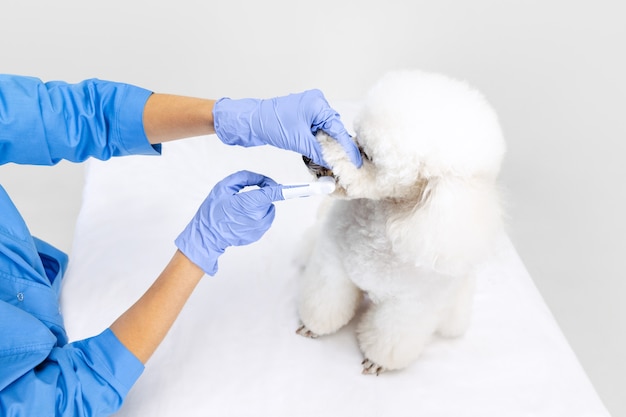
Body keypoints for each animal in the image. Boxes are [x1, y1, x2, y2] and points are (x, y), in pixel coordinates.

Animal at [294, 69, 504, 374]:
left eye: (368, 155)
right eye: (355, 136)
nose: (306, 154)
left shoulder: (409, 307)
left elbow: (391, 338)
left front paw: (377, 361)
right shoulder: (332, 266)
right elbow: (325, 302)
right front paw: (313, 327)